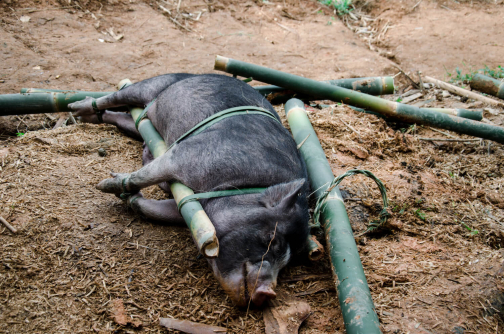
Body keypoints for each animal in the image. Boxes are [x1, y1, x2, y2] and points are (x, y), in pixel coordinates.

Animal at [69, 74, 310, 306]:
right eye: (272, 239)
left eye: (287, 262)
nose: (268, 293)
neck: (243, 185)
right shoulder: (187, 155)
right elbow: (145, 175)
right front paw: (105, 185)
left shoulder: (191, 209)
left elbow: (155, 210)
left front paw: (130, 198)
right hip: (152, 85)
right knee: (115, 96)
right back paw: (77, 108)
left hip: (140, 121)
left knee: (123, 119)